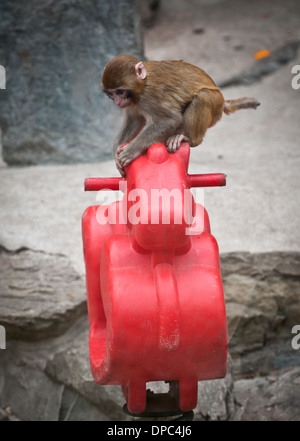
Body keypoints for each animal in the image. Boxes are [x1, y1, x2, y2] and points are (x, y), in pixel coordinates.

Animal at [101, 53, 260, 174]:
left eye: (120, 92)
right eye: (111, 93)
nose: (117, 101)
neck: (142, 86)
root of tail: (222, 101)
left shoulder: (149, 97)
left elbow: (170, 119)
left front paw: (132, 150)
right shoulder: (133, 103)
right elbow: (135, 121)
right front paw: (116, 152)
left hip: (214, 105)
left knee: (202, 97)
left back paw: (190, 139)